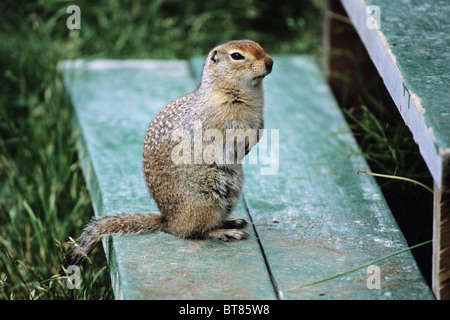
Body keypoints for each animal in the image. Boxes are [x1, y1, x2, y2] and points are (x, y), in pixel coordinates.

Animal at [63, 40, 272, 268]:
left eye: (259, 46)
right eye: (237, 56)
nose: (270, 62)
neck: (249, 91)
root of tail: (168, 220)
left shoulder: (259, 115)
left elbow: (260, 125)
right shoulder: (219, 119)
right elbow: (232, 132)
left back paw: (232, 221)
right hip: (205, 200)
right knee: (193, 232)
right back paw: (224, 232)